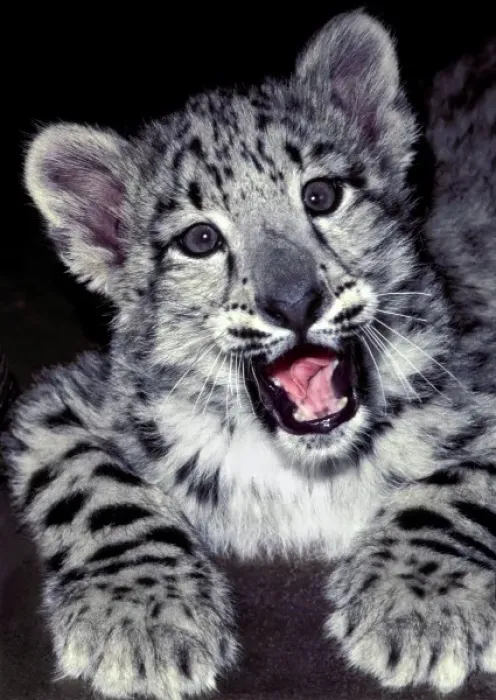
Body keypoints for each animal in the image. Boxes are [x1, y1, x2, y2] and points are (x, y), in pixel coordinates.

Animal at [3, 10, 496, 698]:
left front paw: (419, 599)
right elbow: (97, 486)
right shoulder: (64, 403)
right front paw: (142, 615)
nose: (295, 302)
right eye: (200, 239)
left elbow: (462, 478)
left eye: (321, 195)